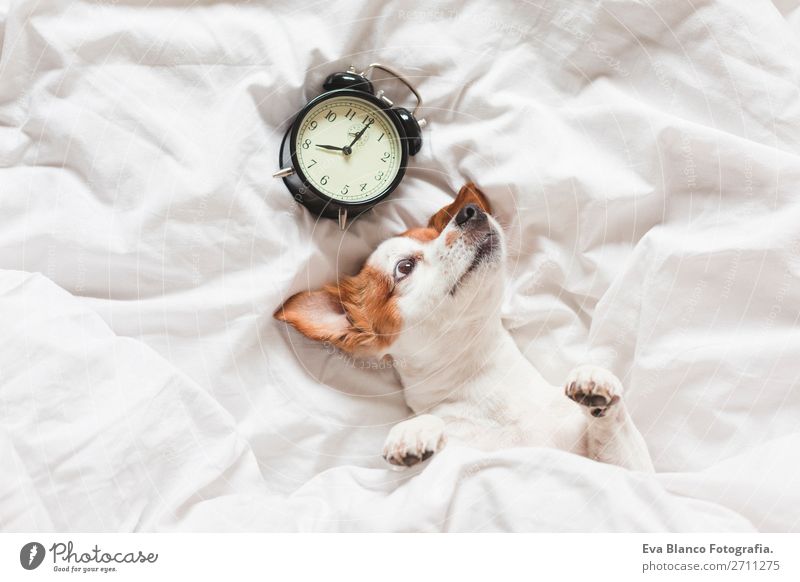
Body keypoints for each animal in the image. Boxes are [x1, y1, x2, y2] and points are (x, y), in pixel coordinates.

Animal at [278, 185, 652, 472]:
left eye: (437, 234)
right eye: (405, 267)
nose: (470, 211)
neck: (488, 383)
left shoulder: (630, 474)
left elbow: (622, 434)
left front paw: (597, 379)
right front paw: (415, 431)